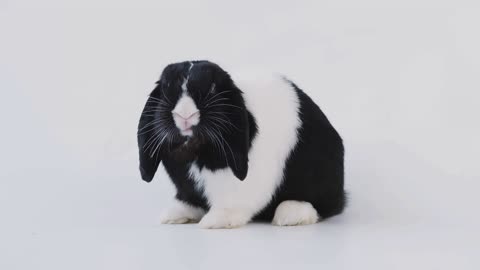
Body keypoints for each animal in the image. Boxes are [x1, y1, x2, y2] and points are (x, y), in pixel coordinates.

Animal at [138, 60, 344, 228]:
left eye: (212, 88)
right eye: (165, 88)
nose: (185, 115)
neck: (196, 151)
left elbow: (232, 201)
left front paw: (215, 221)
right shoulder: (186, 186)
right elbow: (188, 200)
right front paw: (175, 215)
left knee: (321, 205)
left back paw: (290, 215)